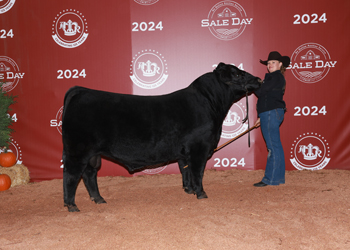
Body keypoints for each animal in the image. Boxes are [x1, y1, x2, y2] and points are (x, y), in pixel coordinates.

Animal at [61, 62, 262, 211]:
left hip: (92, 154)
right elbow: (197, 171)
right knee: (71, 174)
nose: (259, 79)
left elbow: (185, 170)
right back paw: (71, 205)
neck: (211, 104)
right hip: (78, 150)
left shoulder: (185, 152)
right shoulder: (199, 147)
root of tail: (81, 90)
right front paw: (201, 193)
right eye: (237, 75)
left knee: (89, 174)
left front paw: (188, 190)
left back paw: (98, 199)